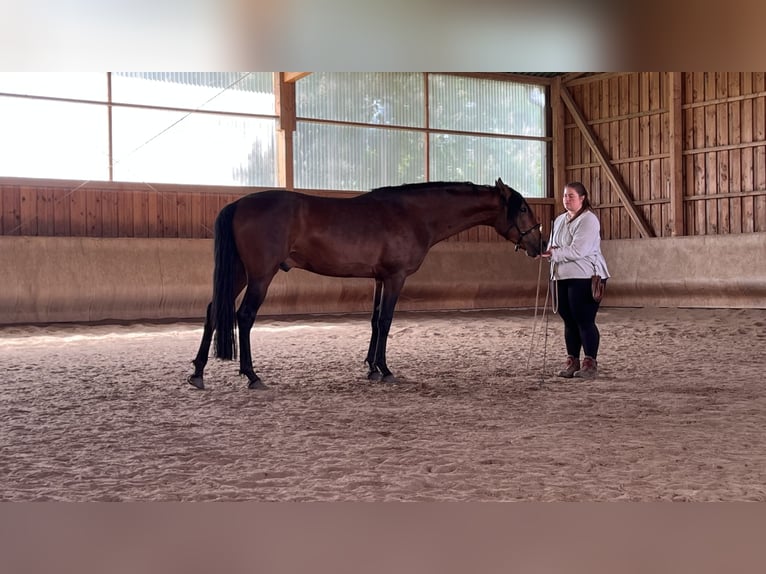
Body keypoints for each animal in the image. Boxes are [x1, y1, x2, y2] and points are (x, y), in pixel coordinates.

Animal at [188, 178, 546, 390]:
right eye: (522, 208)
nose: (541, 244)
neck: (413, 215)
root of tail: (239, 204)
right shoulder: (395, 278)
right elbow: (386, 322)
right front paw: (385, 370)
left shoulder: (379, 278)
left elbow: (374, 322)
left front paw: (371, 368)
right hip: (261, 275)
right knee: (244, 317)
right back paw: (252, 376)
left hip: (239, 273)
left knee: (213, 311)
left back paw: (198, 373)